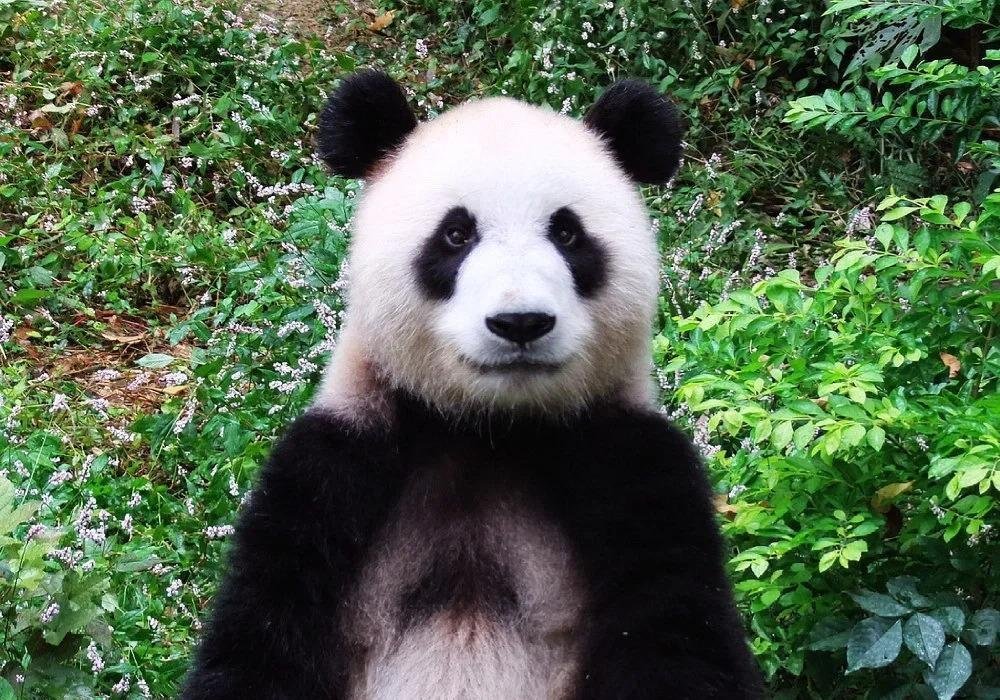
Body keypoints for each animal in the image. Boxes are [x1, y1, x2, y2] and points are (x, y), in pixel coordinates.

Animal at [182, 71, 764, 700]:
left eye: (567, 233)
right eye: (456, 234)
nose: (520, 323)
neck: (489, 430)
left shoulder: (634, 464)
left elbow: (679, 634)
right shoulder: (333, 470)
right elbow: (262, 637)